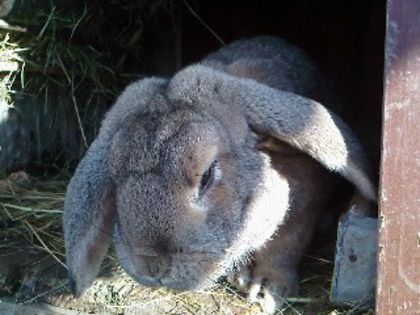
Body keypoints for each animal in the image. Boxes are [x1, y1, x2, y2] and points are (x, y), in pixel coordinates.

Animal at [62, 36, 374, 314]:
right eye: (115, 177)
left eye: (208, 175)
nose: (153, 266)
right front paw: (244, 277)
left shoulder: (303, 212)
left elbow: (284, 248)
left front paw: (265, 289)